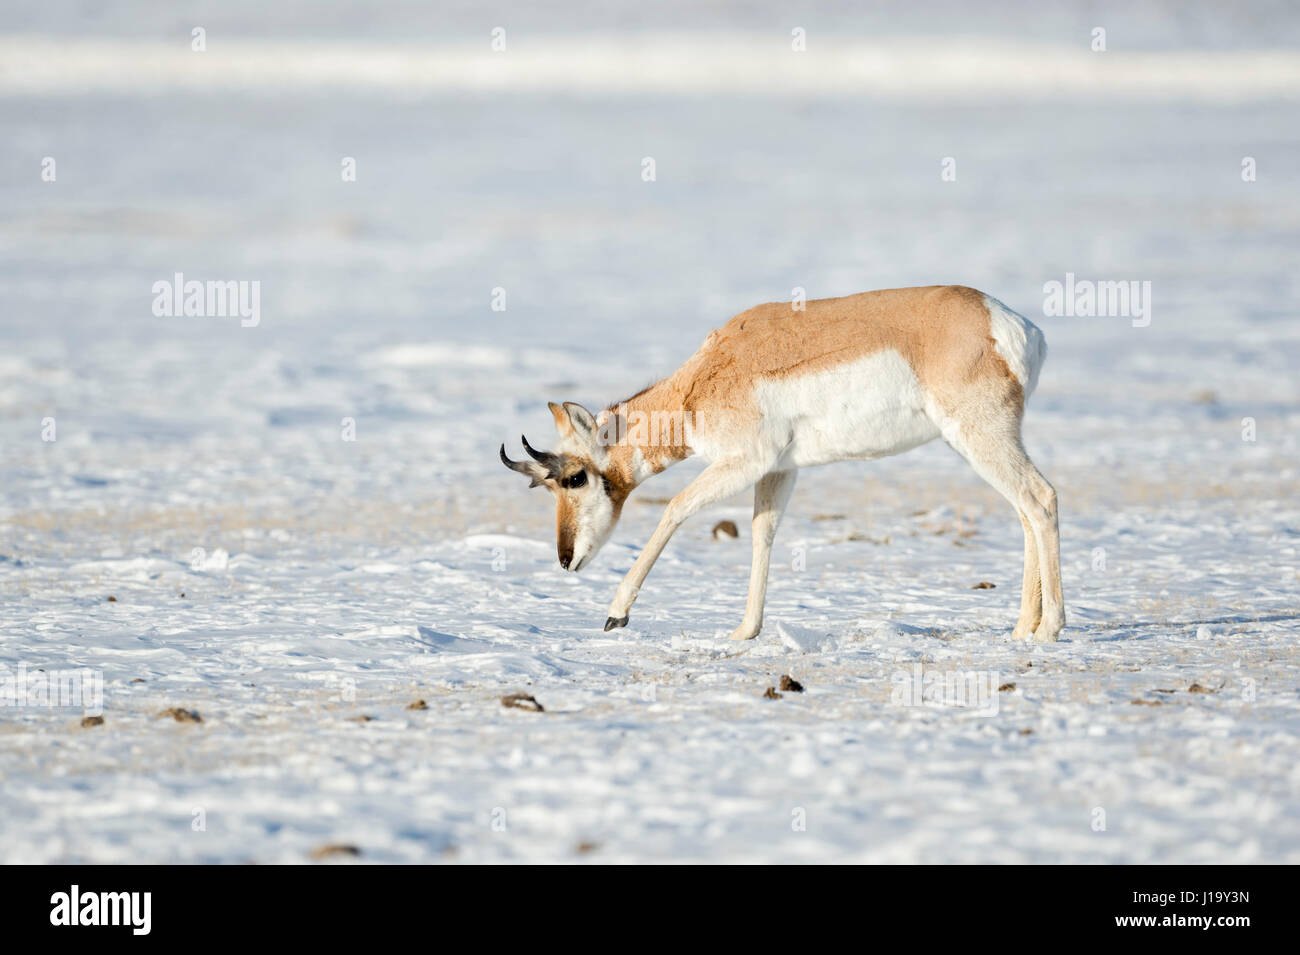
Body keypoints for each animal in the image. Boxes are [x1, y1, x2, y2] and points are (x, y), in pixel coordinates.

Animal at [501, 283, 1060, 641]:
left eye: (575, 478)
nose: (565, 559)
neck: (703, 378)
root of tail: (1013, 325)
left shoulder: (744, 463)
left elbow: (675, 508)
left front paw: (616, 613)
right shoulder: (779, 470)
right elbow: (762, 533)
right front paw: (744, 630)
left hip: (981, 438)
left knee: (1041, 499)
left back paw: (1050, 628)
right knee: (1026, 511)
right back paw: (1021, 629)